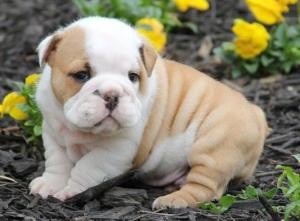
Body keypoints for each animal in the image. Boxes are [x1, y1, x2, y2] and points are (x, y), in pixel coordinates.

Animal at [29, 17, 270, 209]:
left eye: (133, 77)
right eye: (81, 75)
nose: (112, 94)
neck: (80, 130)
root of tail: (257, 113)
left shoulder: (114, 150)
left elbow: (87, 167)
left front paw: (72, 190)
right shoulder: (53, 134)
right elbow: (57, 162)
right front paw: (50, 184)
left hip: (214, 148)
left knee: (205, 187)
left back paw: (173, 200)